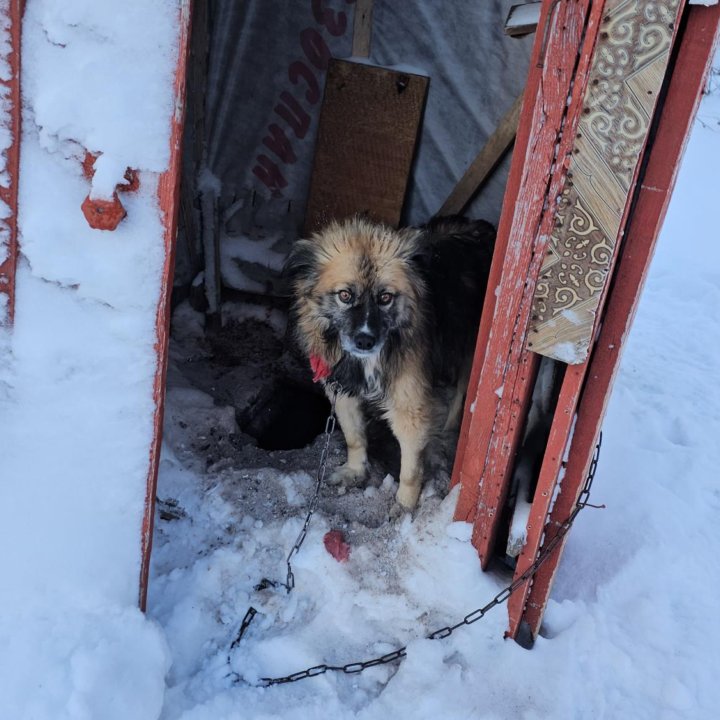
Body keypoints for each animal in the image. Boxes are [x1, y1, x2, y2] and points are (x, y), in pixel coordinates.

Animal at [286, 214, 496, 512]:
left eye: (385, 298)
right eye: (345, 295)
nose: (364, 340)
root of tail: (482, 228)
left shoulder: (409, 408)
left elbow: (410, 470)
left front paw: (405, 505)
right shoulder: (342, 392)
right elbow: (354, 437)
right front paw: (355, 470)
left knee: (462, 390)